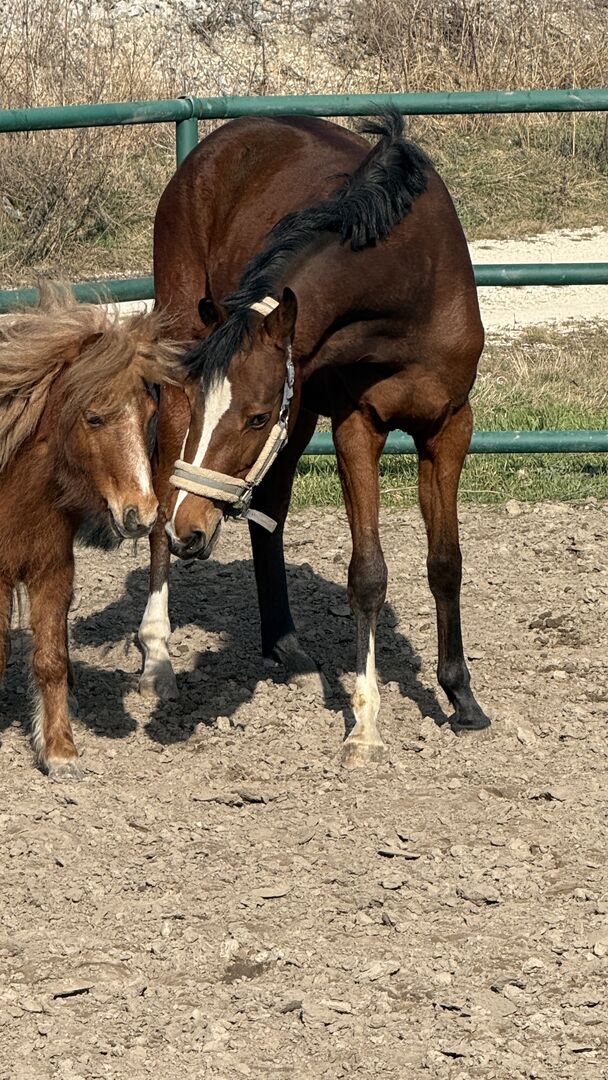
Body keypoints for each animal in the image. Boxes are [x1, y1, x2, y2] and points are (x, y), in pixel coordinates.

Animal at [0, 285, 183, 779]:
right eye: (93, 417)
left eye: (149, 412)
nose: (142, 513)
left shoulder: (53, 571)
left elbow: (51, 658)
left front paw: (60, 750)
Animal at [138, 111, 490, 767]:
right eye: (209, 410)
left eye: (256, 417)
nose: (192, 530)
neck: (411, 278)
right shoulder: (359, 425)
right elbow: (368, 573)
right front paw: (366, 724)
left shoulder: (450, 425)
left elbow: (446, 561)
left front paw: (461, 697)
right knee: (158, 502)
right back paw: (157, 656)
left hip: (299, 414)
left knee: (268, 511)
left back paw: (286, 645)